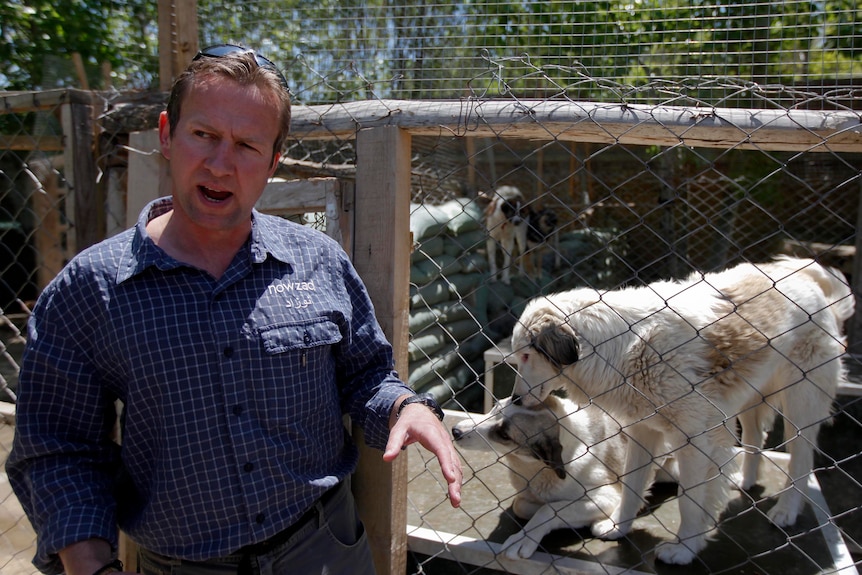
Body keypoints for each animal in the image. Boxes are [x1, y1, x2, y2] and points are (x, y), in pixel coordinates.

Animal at [452, 398, 676, 560]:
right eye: (494, 408)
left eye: (504, 435)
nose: (455, 431)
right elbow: (522, 505)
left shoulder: (609, 495)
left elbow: (549, 509)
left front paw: (524, 537)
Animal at [510, 258, 852, 564]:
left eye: (526, 356)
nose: (514, 399)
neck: (620, 348)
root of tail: (808, 280)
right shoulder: (642, 431)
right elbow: (632, 486)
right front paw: (619, 527)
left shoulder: (694, 440)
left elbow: (689, 502)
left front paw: (684, 549)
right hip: (749, 397)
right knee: (756, 436)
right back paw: (744, 481)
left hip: (801, 402)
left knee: (801, 459)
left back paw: (786, 510)